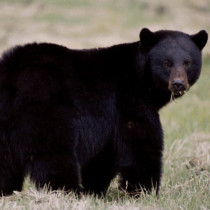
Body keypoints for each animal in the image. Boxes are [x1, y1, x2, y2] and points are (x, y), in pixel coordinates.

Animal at [0, 27, 208, 195]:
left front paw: (95, 190)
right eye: (166, 62)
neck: (138, 75)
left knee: (6, 162)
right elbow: (140, 143)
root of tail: (14, 74)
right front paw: (144, 191)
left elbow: (104, 156)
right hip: (47, 107)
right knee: (54, 153)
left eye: (188, 62)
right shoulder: (127, 100)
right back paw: (68, 190)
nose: (178, 84)